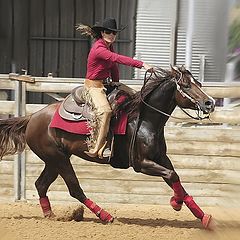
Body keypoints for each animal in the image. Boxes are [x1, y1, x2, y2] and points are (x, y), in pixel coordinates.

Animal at [0, 65, 215, 229]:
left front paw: (204, 217)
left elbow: (175, 179)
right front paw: (176, 203)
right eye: (186, 85)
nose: (209, 103)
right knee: (75, 189)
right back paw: (106, 216)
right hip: (58, 159)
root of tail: (32, 117)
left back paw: (50, 216)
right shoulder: (141, 164)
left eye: (198, 83)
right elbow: (172, 175)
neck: (145, 120)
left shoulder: (161, 158)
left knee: (41, 184)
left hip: (54, 159)